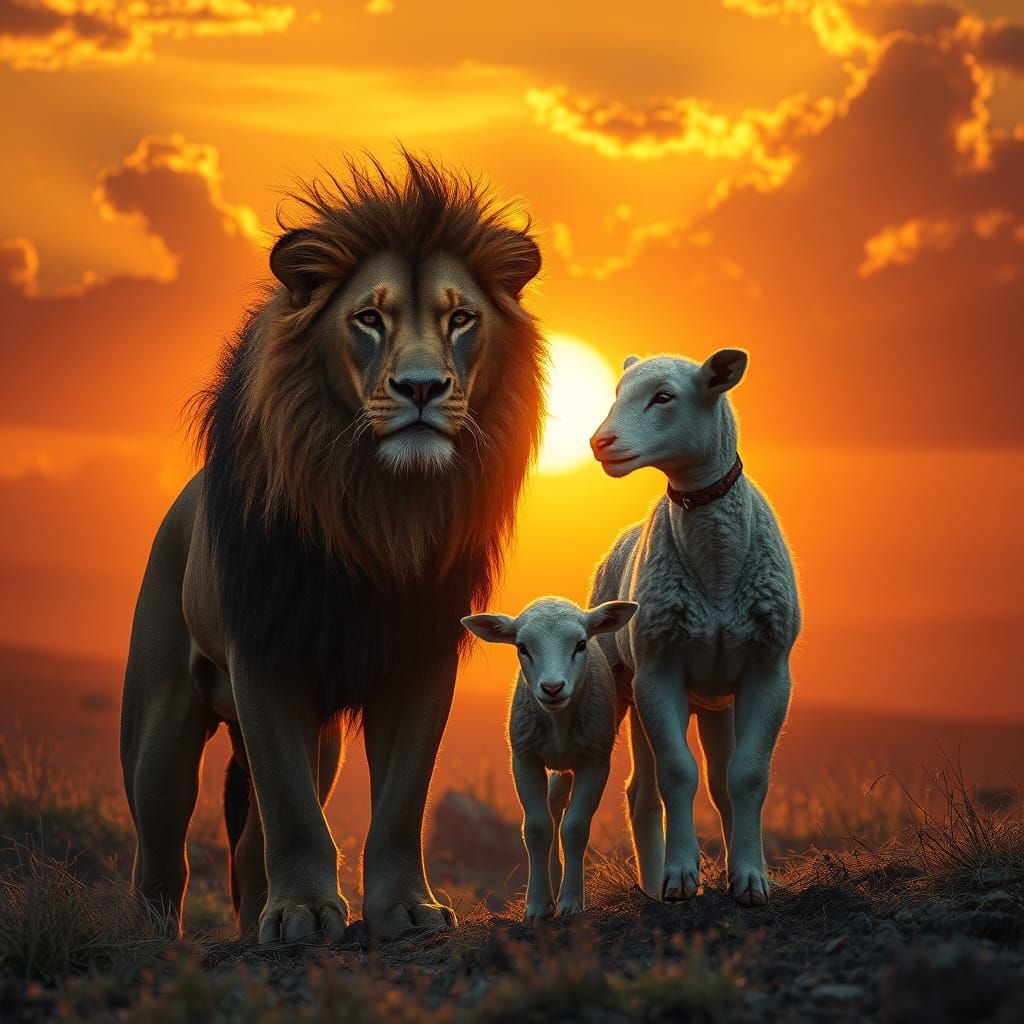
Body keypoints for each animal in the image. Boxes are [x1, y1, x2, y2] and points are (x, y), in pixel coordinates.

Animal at [120, 153, 545, 942]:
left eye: (461, 317)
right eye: (368, 318)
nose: (420, 388)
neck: (380, 514)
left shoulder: (420, 658)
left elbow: (399, 803)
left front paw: (403, 909)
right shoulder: (265, 655)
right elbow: (292, 813)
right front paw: (303, 913)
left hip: (323, 741)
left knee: (248, 844)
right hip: (162, 731)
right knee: (161, 854)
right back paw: (156, 938)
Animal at [462, 597, 638, 922]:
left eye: (580, 644)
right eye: (522, 647)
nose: (553, 688)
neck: (558, 724)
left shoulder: (595, 761)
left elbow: (575, 828)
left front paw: (571, 902)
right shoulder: (524, 759)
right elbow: (536, 829)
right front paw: (538, 905)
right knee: (553, 806)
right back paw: (553, 878)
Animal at [589, 349, 800, 907]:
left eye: (664, 396)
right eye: (617, 393)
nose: (600, 443)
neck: (718, 575)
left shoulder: (770, 668)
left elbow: (747, 777)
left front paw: (750, 880)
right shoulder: (659, 670)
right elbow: (677, 774)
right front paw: (681, 877)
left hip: (712, 699)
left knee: (717, 784)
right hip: (623, 682)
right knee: (636, 789)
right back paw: (648, 885)